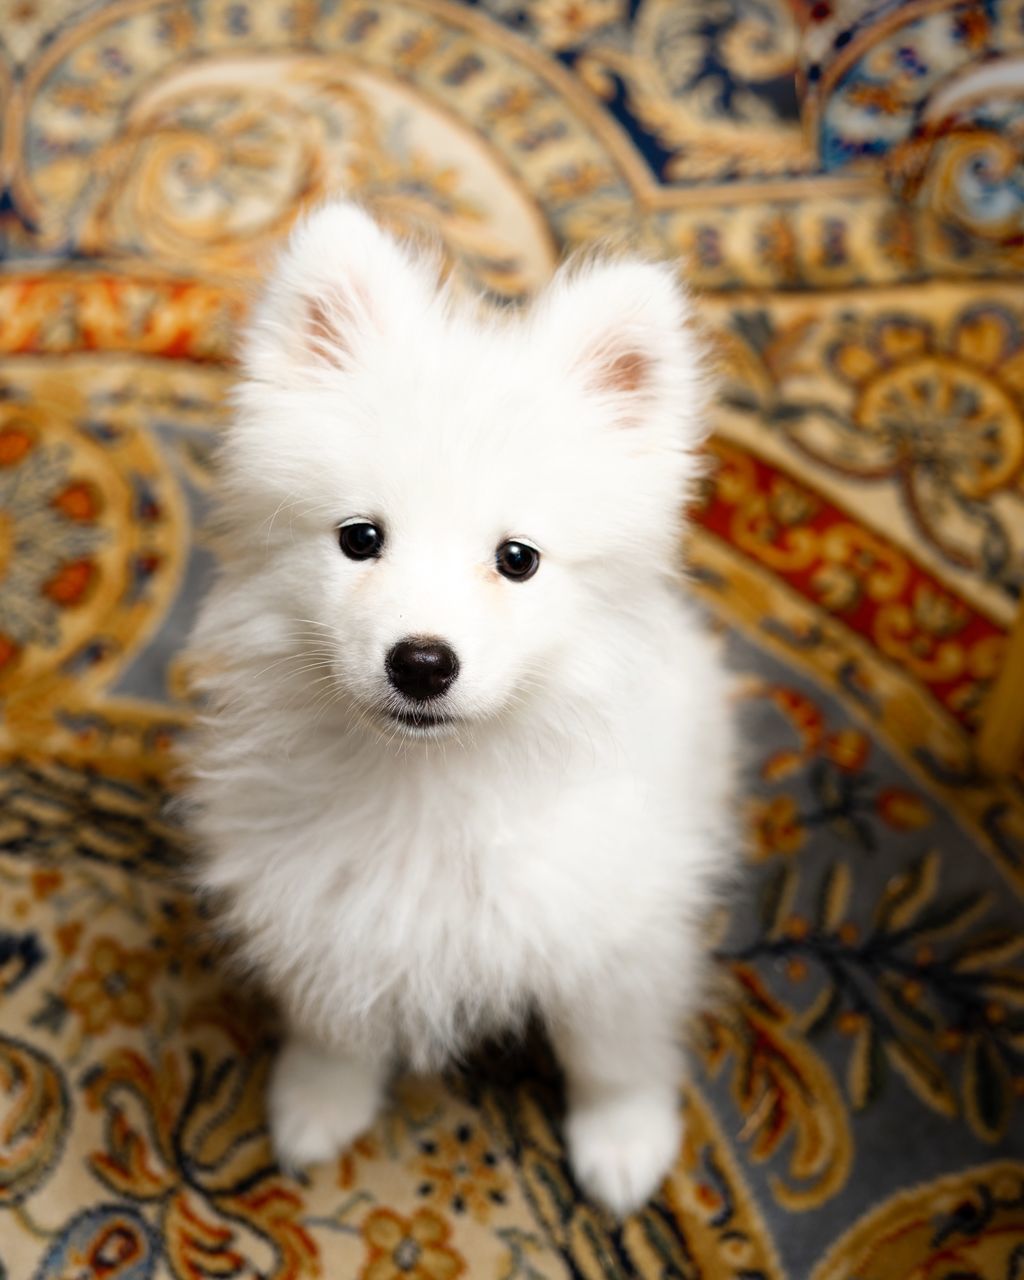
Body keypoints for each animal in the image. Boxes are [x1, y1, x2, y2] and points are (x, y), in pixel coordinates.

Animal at [184, 202, 742, 1218]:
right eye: (359, 539)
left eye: (517, 559)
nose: (421, 662)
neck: (431, 784)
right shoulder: (325, 905)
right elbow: (335, 1026)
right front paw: (317, 1104)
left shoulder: (618, 924)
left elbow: (613, 1050)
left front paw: (625, 1141)